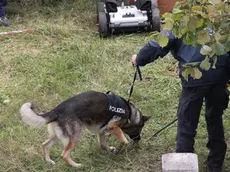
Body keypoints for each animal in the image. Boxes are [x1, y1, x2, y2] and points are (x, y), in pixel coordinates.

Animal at [19, 91, 149, 168]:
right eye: (139, 129)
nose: (138, 139)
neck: (130, 112)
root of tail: (56, 110)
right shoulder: (113, 127)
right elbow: (124, 140)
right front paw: (121, 148)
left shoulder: (102, 130)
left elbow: (103, 144)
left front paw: (111, 150)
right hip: (75, 136)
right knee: (64, 155)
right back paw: (76, 166)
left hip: (57, 135)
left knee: (45, 145)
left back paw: (49, 161)